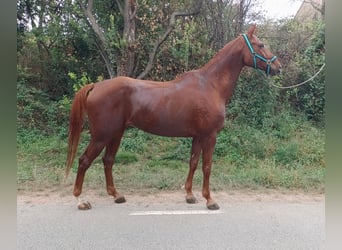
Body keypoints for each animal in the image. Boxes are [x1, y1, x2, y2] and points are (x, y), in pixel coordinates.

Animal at [65, 24, 282, 209]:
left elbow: (193, 163)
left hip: (116, 134)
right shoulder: (210, 136)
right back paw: (80, 200)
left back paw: (116, 195)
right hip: (101, 136)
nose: (278, 66)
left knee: (108, 160)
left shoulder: (198, 136)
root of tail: (96, 86)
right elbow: (207, 166)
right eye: (261, 45)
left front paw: (189, 195)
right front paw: (210, 200)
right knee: (84, 161)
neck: (210, 85)